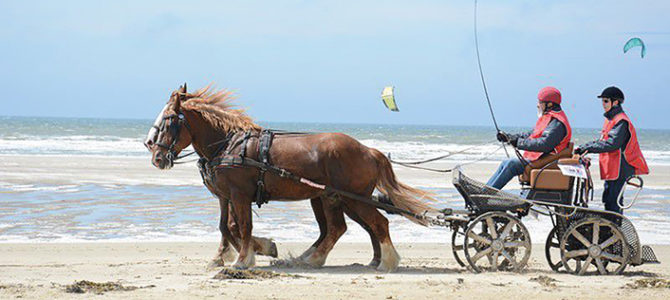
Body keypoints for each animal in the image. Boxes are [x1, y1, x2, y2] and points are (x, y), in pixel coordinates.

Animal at [144, 84, 434, 272]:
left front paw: (244, 258)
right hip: (330, 197)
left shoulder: (239, 195)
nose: (155, 154)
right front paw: (242, 252)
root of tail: (369, 150)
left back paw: (386, 261)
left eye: (169, 119)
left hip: (353, 198)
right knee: (338, 228)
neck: (228, 144)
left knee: (376, 223)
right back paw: (313, 259)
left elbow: (242, 227)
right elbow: (227, 227)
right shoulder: (226, 196)